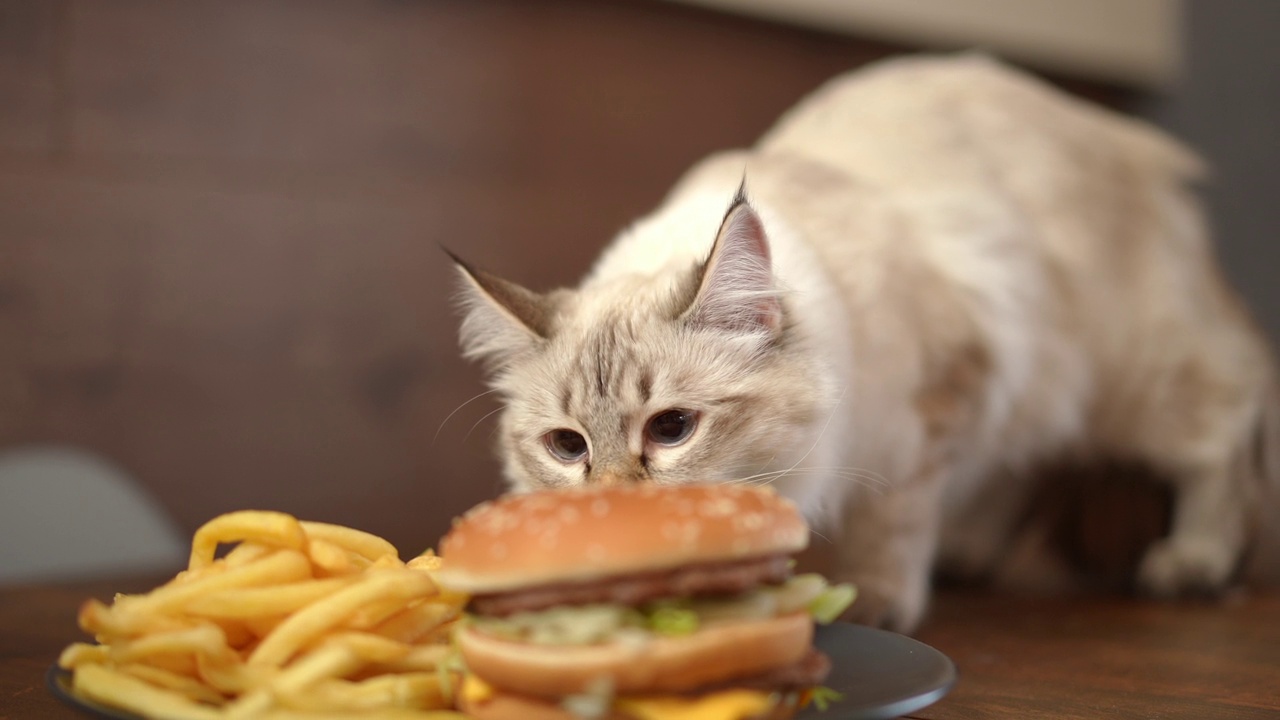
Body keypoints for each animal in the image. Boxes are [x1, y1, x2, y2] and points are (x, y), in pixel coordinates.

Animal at [448, 54, 1269, 627]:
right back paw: (971, 555)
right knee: (1022, 459)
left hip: (1132, 380)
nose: (613, 511)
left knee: (1224, 435)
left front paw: (878, 602)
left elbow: (893, 524)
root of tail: (1130, 143)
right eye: (567, 447)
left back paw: (1192, 563)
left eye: (672, 429)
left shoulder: (940, 401)